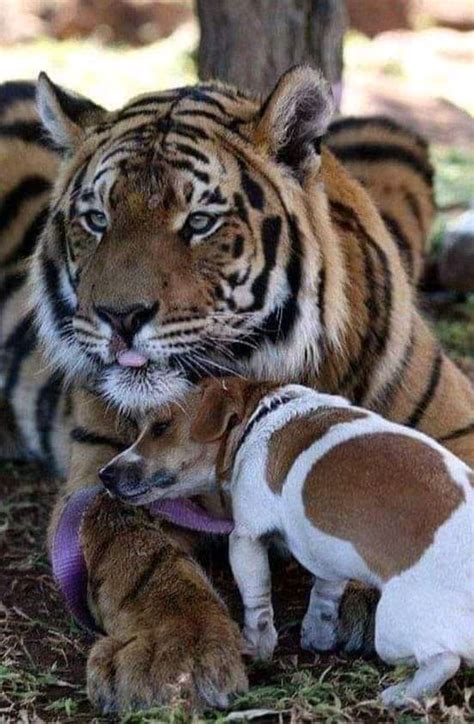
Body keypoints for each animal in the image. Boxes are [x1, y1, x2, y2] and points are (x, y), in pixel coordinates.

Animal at [1, 66, 472, 712]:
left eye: (199, 222)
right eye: (97, 220)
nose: (118, 316)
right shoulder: (102, 475)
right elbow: (140, 557)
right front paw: (174, 656)